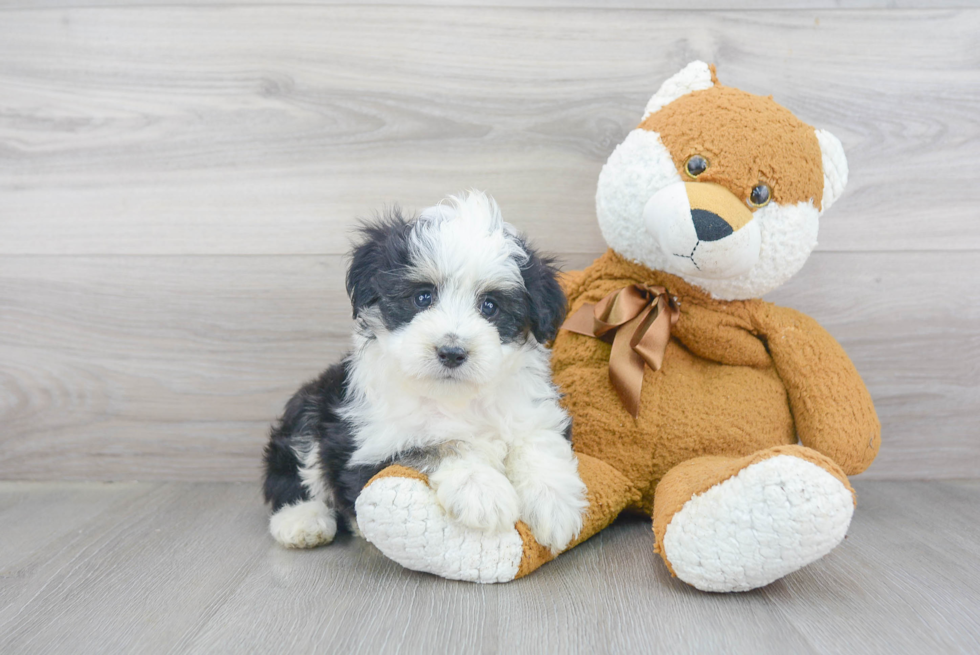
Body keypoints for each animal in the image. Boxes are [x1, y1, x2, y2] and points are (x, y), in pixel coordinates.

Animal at [262, 192, 588, 556]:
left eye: (490, 306)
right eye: (422, 297)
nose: (451, 352)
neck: (454, 397)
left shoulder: (531, 410)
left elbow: (538, 440)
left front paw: (554, 503)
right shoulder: (372, 445)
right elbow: (437, 445)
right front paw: (482, 490)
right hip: (309, 408)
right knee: (294, 471)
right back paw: (302, 521)